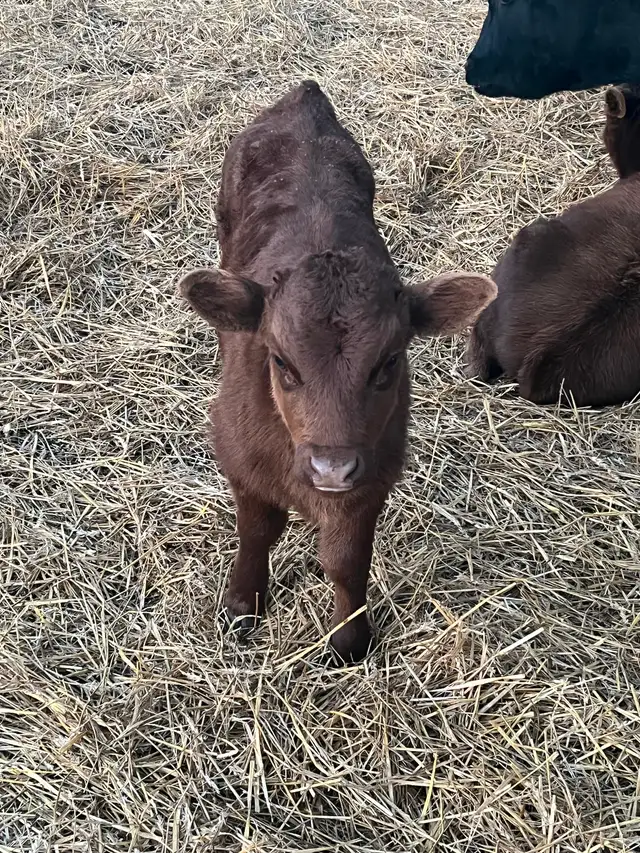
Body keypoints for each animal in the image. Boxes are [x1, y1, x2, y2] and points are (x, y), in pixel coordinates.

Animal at [179, 81, 496, 662]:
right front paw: (241, 607)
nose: (330, 469)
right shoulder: (239, 458)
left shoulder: (371, 473)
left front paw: (349, 640)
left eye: (389, 361)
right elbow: (257, 531)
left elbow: (347, 559)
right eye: (280, 361)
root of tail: (302, 96)